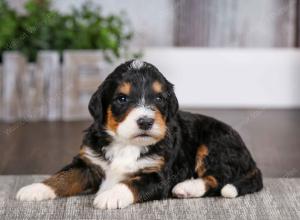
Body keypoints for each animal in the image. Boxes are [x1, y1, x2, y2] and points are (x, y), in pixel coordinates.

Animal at [17, 59, 264, 209]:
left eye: (159, 98)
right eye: (122, 98)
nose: (145, 121)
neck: (126, 144)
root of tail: (250, 157)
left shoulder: (159, 175)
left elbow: (132, 183)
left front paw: (109, 196)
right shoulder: (88, 163)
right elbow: (63, 176)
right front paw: (35, 189)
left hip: (214, 143)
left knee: (219, 178)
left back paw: (187, 187)